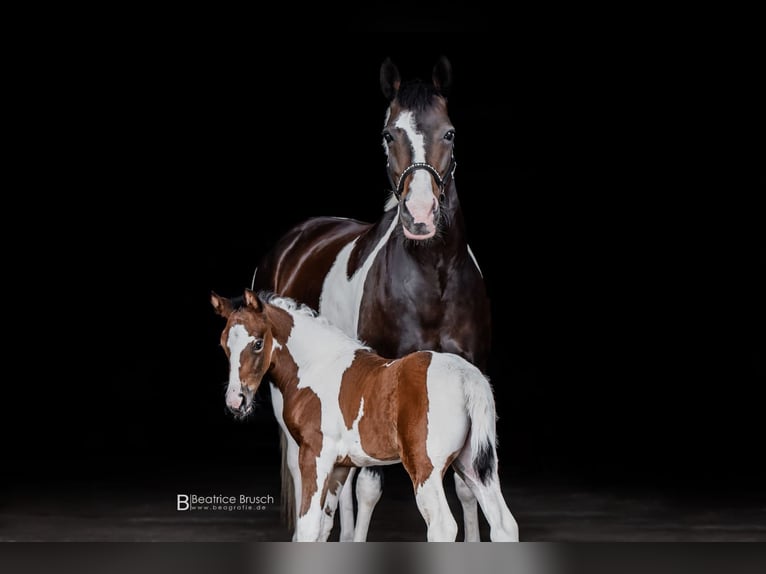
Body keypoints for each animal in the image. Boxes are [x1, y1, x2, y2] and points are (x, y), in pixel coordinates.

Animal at [210, 289, 518, 542]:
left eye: (257, 343)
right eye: (224, 345)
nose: (236, 401)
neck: (316, 366)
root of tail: (468, 378)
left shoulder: (314, 455)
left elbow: (308, 526)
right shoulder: (339, 466)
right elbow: (324, 526)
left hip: (425, 468)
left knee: (442, 527)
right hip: (473, 465)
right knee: (504, 525)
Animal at [249, 56, 493, 541]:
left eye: (450, 132)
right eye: (388, 134)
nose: (419, 217)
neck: (433, 277)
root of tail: (296, 238)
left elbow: (466, 486)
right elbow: (368, 488)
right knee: (314, 474)